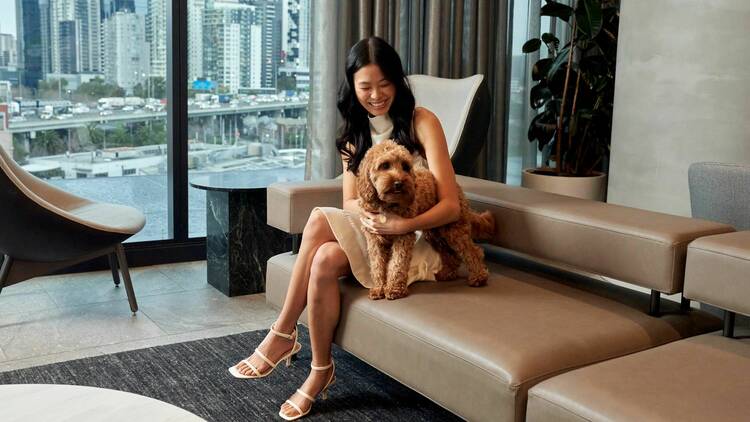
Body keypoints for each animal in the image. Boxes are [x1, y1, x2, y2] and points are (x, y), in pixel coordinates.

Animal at [356, 140, 496, 298]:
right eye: (385, 165)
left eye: (405, 166)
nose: (399, 183)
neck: (388, 204)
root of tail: (455, 187)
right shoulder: (374, 238)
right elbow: (377, 265)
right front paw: (378, 288)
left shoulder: (403, 235)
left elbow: (398, 263)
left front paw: (394, 289)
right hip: (435, 233)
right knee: (450, 255)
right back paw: (446, 274)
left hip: (454, 229)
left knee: (472, 251)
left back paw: (479, 277)